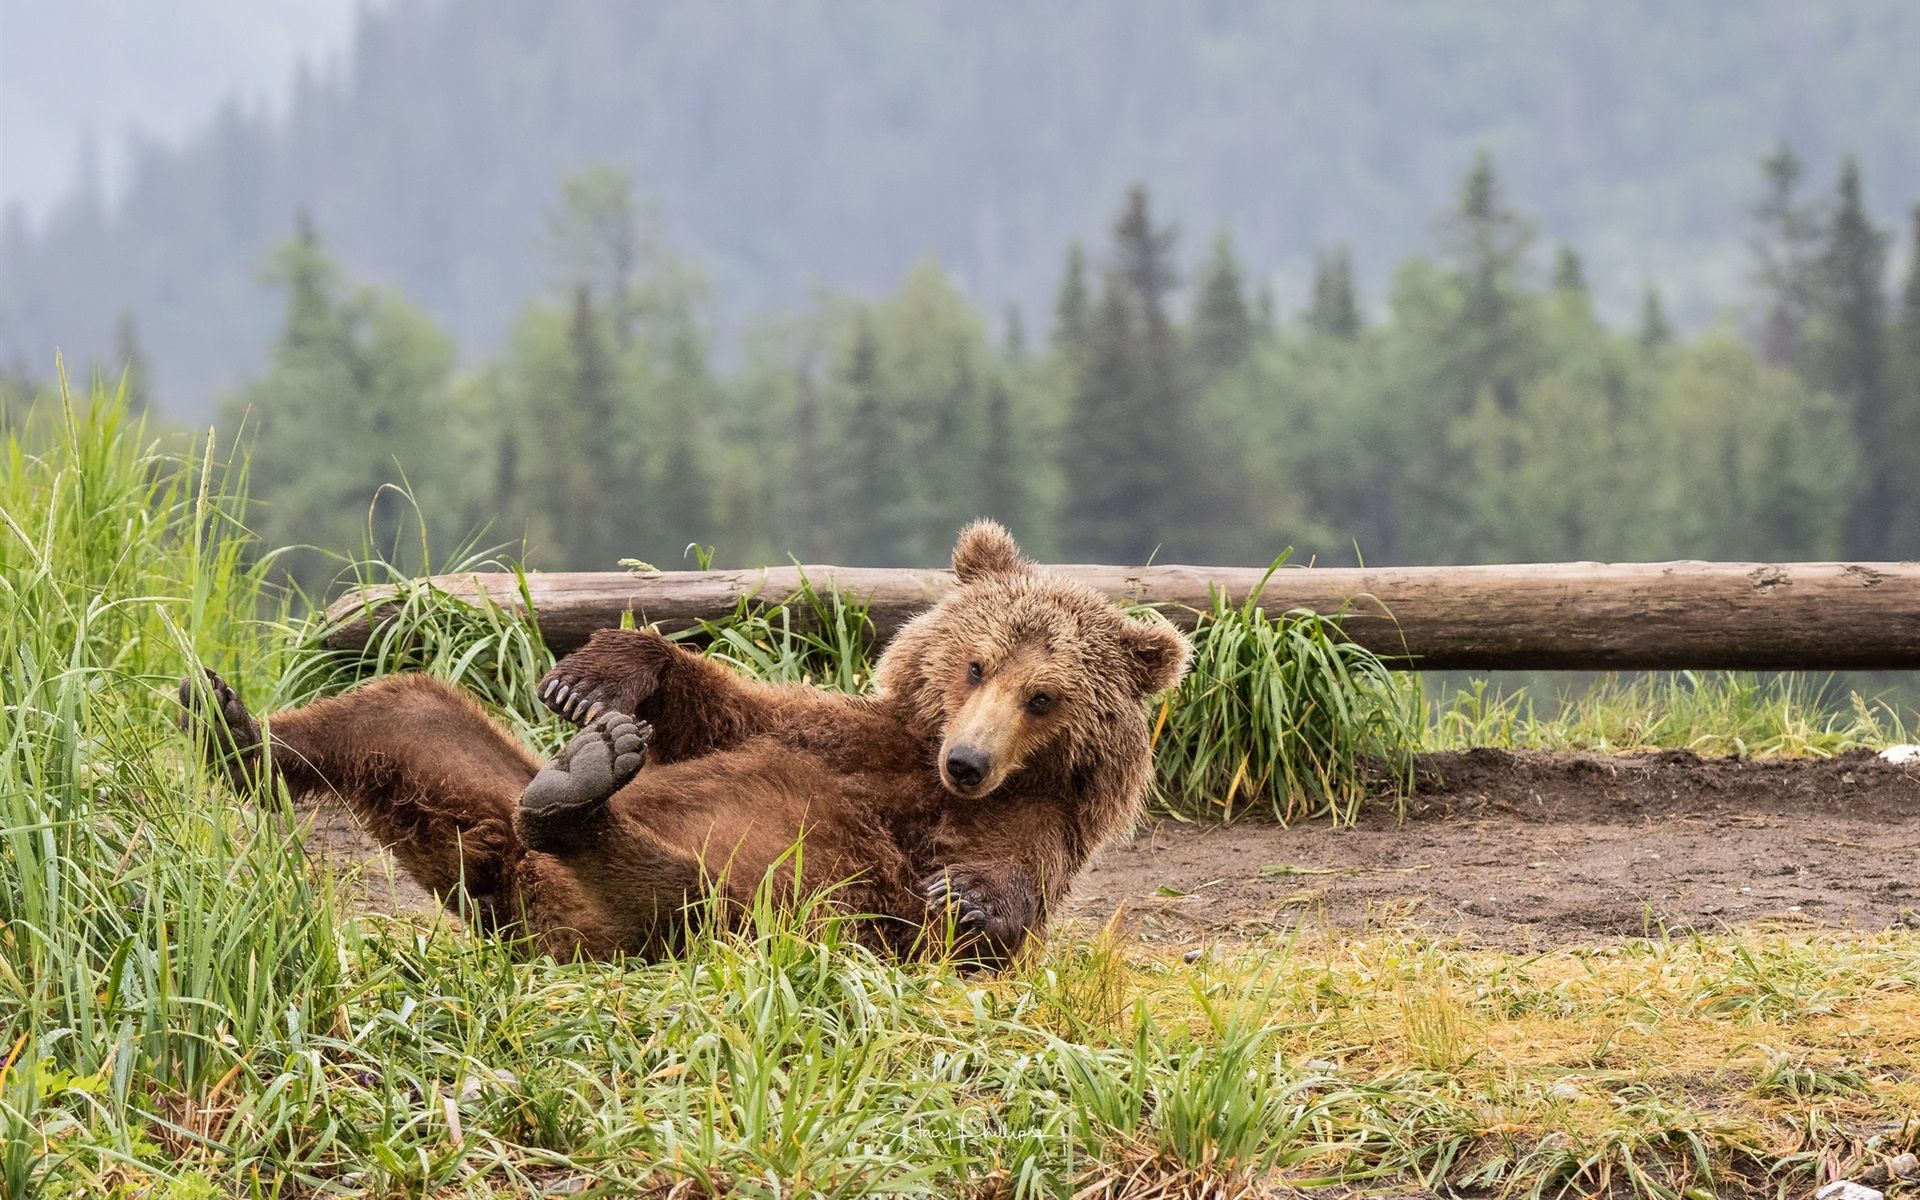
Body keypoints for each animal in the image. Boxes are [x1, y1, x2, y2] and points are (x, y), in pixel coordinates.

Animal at [187, 518, 1190, 960]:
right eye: (977, 665)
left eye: (1044, 697)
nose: (968, 761)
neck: (920, 775)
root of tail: (505, 891)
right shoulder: (846, 739)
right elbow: (731, 714)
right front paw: (595, 679)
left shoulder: (1019, 826)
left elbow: (979, 905)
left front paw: (972, 900)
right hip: (466, 787)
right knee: (405, 712)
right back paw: (232, 725)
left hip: (740, 916)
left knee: (680, 895)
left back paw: (576, 801)